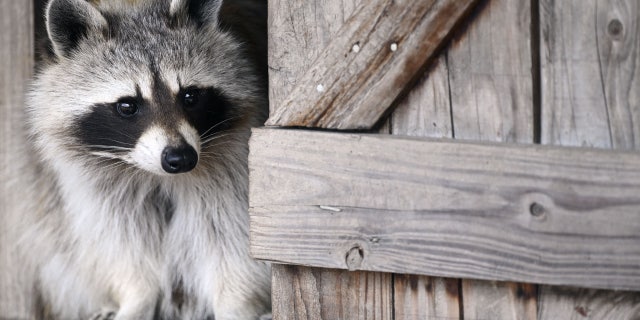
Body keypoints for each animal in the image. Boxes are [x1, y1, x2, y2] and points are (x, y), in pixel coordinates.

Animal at [20, 0, 270, 318]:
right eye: (127, 106)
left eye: (190, 96)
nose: (181, 157)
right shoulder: (97, 182)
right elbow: (123, 237)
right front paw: (137, 294)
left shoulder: (233, 162)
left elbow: (230, 233)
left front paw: (236, 302)